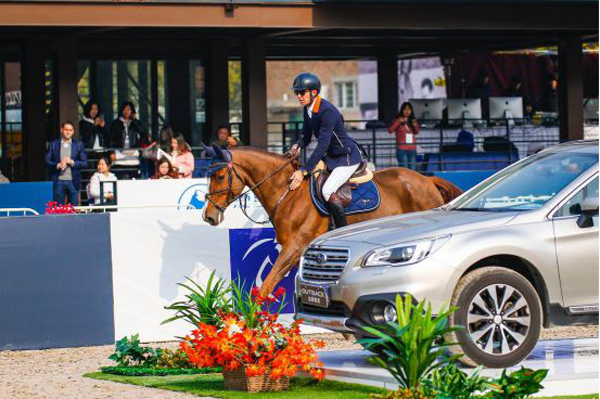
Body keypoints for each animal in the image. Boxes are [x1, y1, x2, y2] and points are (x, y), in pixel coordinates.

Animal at [204, 147, 462, 296]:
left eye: (220, 176)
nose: (208, 216)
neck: (288, 192)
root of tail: (427, 180)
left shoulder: (294, 248)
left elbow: (266, 286)